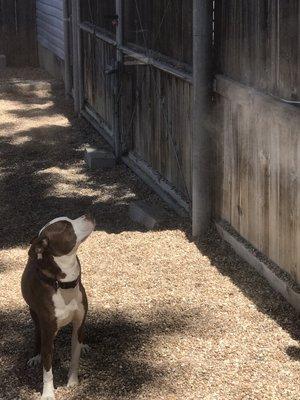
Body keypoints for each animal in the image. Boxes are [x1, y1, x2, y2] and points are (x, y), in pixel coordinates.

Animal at [21, 216, 95, 400]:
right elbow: (47, 371)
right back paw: (35, 356)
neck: (62, 283)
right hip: (35, 315)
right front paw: (48, 394)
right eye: (67, 227)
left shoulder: (78, 324)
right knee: (37, 333)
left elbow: (75, 356)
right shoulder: (47, 335)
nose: (88, 214)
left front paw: (73, 382)